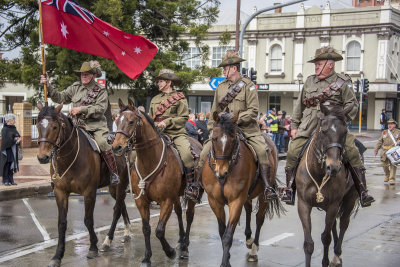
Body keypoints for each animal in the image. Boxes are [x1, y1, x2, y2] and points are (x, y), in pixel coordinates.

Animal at [35, 103, 130, 267]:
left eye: (55, 127)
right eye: (38, 125)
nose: (43, 157)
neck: (70, 156)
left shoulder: (89, 192)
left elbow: (88, 220)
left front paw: (93, 247)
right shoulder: (60, 192)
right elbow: (62, 223)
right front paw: (57, 256)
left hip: (122, 183)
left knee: (117, 209)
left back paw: (108, 241)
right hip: (114, 187)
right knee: (121, 205)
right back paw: (126, 232)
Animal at [111, 99, 202, 266]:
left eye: (131, 121)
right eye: (116, 120)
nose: (116, 147)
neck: (150, 161)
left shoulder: (166, 200)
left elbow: (159, 230)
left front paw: (170, 252)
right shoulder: (142, 201)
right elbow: (146, 228)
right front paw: (147, 257)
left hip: (190, 195)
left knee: (189, 216)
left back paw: (185, 247)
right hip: (176, 196)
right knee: (179, 213)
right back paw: (180, 240)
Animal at [202, 112, 282, 267]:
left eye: (233, 140)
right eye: (214, 139)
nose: (221, 172)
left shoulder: (236, 200)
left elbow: (228, 235)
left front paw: (225, 263)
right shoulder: (215, 202)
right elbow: (222, 232)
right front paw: (227, 257)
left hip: (263, 196)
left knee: (259, 219)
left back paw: (254, 250)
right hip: (247, 195)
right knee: (249, 210)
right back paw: (248, 239)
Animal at [296, 103, 360, 266]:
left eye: (345, 132)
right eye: (323, 131)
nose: (334, 167)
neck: (318, 173)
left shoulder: (333, 205)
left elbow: (325, 238)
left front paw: (325, 261)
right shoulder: (303, 204)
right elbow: (309, 244)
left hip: (349, 198)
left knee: (343, 224)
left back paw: (336, 256)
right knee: (334, 227)